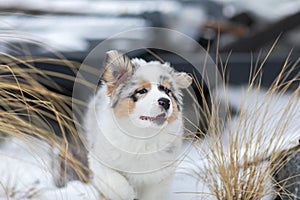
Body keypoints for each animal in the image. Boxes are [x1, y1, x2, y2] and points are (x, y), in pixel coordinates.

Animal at [84, 50, 192, 200]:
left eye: (167, 91)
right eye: (142, 91)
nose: (165, 101)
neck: (142, 136)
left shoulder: (159, 175)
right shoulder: (100, 160)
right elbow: (117, 184)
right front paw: (129, 193)